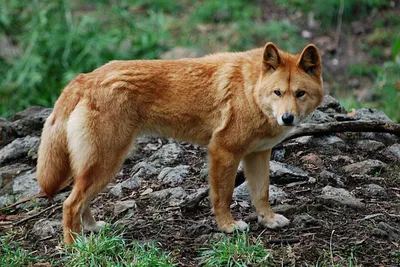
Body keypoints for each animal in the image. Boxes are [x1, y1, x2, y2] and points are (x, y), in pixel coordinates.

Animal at [36, 42, 324, 245]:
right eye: (278, 93)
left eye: (300, 93)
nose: (287, 118)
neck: (251, 91)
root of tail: (85, 78)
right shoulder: (223, 152)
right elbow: (223, 196)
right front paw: (227, 226)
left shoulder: (259, 154)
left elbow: (262, 193)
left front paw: (269, 220)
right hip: (106, 163)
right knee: (70, 204)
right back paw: (75, 245)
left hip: (101, 167)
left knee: (81, 202)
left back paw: (93, 229)